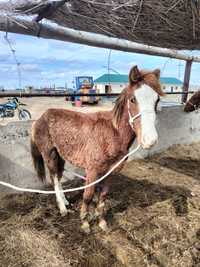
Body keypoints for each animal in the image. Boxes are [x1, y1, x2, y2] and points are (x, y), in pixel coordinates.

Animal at [30, 66, 163, 234]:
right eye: (133, 99)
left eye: (156, 100)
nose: (150, 140)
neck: (112, 133)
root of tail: (39, 119)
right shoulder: (92, 171)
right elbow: (88, 196)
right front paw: (85, 223)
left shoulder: (111, 171)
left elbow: (103, 196)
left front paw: (101, 222)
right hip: (49, 154)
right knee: (54, 178)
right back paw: (62, 209)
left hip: (60, 155)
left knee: (58, 178)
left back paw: (66, 202)